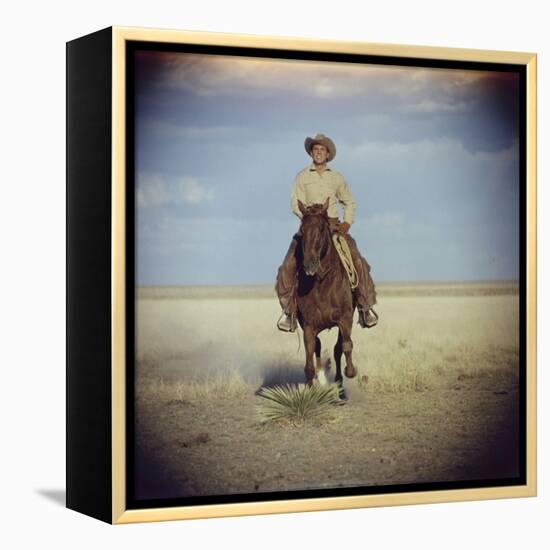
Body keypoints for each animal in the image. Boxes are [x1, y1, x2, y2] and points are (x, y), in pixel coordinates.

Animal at [296, 198, 360, 402]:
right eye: (301, 230)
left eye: (322, 228)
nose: (310, 265)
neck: (323, 282)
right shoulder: (308, 326)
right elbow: (309, 363)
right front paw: (310, 393)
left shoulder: (345, 319)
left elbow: (345, 346)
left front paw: (350, 372)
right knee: (318, 348)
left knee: (338, 348)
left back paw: (340, 388)